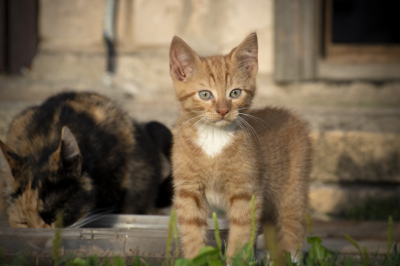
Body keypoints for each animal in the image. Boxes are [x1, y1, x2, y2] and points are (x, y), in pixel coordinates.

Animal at [169, 32, 312, 258]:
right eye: (205, 94)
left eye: (235, 93)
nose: (222, 110)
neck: (214, 138)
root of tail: (290, 114)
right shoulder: (188, 191)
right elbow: (191, 230)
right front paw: (196, 258)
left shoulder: (246, 193)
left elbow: (241, 233)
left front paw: (234, 258)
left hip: (293, 190)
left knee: (292, 227)